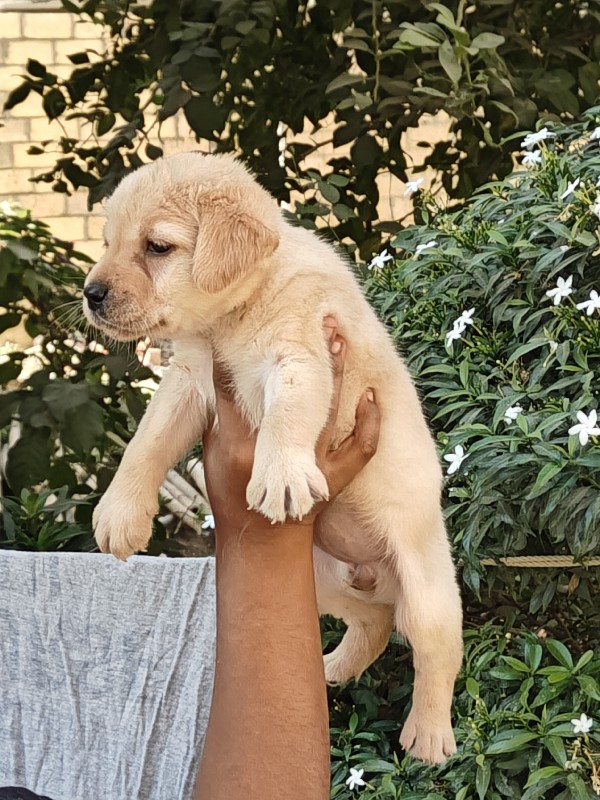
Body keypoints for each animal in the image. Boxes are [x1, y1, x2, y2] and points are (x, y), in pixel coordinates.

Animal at [81, 153, 464, 764]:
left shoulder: (301, 357)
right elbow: (146, 443)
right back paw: (334, 667)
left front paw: (281, 475)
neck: (232, 315)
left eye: (157, 247)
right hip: (325, 580)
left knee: (437, 656)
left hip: (427, 595)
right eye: (109, 242)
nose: (90, 293)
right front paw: (121, 513)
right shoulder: (187, 381)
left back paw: (428, 735)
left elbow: (286, 416)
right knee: (375, 622)